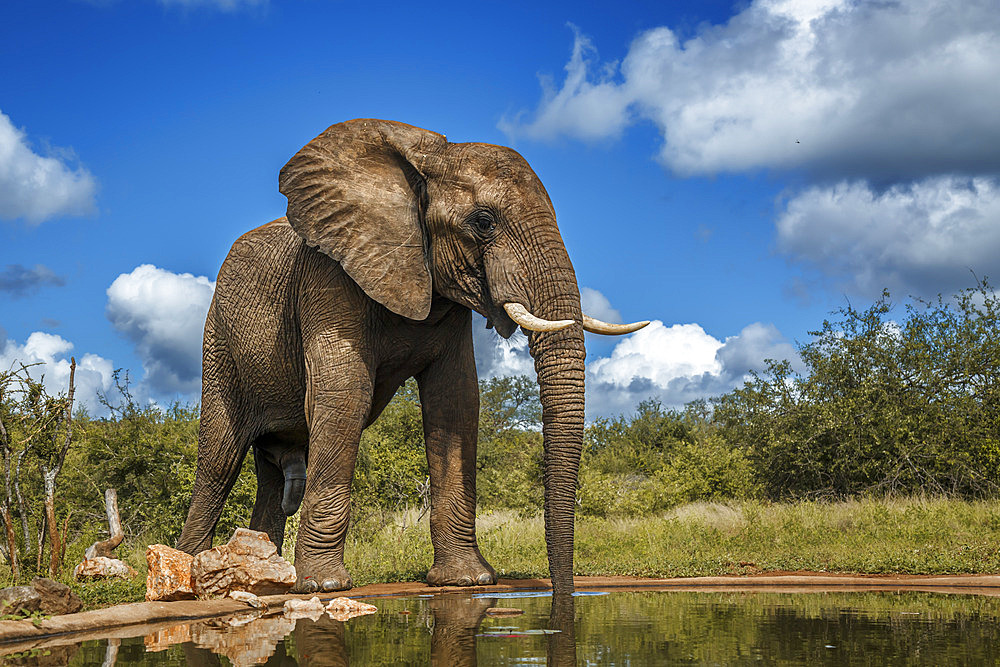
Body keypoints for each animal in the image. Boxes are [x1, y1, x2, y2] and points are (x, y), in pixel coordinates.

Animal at [176, 120, 648, 596]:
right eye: (483, 222)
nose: (561, 591)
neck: (427, 161)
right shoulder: (329, 274)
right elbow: (346, 392)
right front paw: (322, 586)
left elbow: (455, 402)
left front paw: (467, 579)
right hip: (218, 338)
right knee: (218, 460)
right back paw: (197, 569)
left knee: (270, 476)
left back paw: (265, 573)